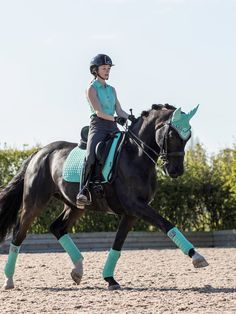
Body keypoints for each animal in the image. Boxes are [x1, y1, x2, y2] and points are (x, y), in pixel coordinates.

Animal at [0, 103, 208, 290]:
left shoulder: (131, 213)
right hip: (34, 203)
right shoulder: (136, 206)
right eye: (172, 135)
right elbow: (166, 225)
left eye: (188, 136)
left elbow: (117, 244)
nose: (176, 171)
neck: (135, 155)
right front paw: (197, 257)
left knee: (57, 227)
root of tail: (39, 153)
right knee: (19, 233)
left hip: (75, 205)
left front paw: (109, 279)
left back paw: (78, 270)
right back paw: (9, 280)